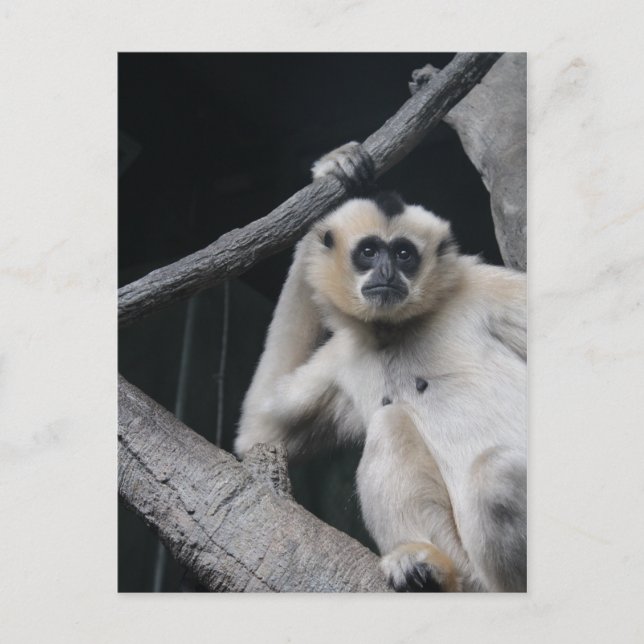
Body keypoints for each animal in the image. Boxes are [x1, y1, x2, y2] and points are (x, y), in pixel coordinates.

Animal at [235, 142, 526, 593]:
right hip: (472, 566)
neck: (398, 329)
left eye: (404, 254)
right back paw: (426, 568)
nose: (387, 272)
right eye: (369, 252)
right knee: (393, 424)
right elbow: (259, 433)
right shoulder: (342, 357)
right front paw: (334, 172)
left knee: (499, 474)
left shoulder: (483, 288)